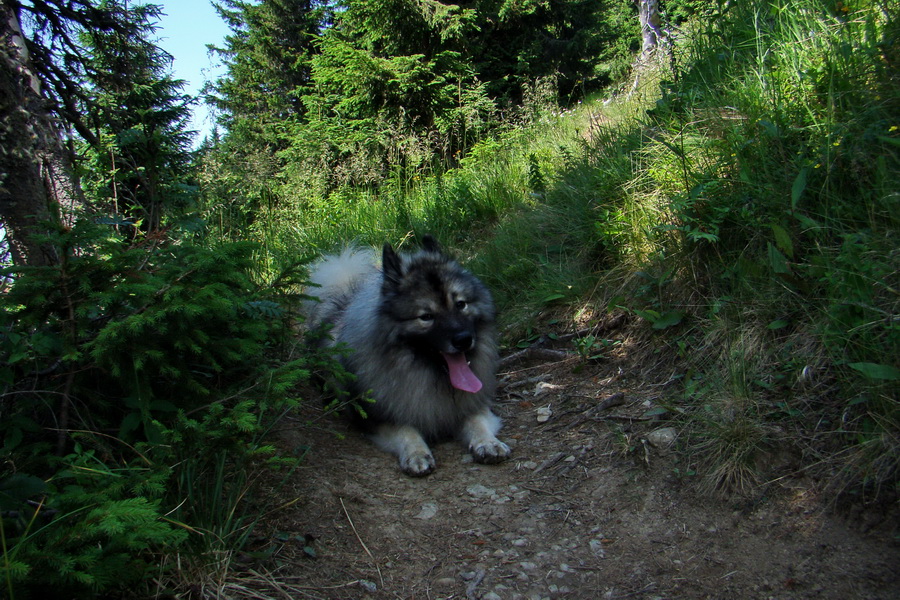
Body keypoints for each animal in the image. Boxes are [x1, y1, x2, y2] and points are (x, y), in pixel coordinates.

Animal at [304, 237, 510, 476]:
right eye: (426, 317)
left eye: (461, 304)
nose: (464, 339)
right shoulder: (379, 417)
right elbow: (406, 430)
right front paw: (417, 454)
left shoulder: (472, 404)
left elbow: (477, 421)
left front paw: (488, 443)